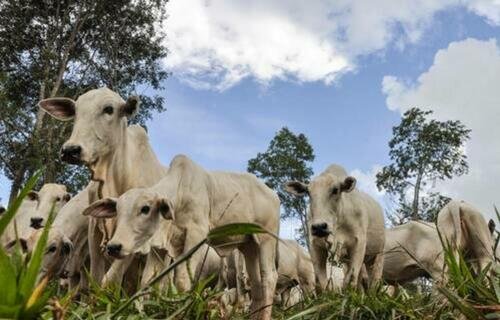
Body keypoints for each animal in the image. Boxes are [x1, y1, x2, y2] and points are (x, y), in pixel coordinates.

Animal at [37, 88, 170, 288]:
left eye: (109, 109)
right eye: (76, 111)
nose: (70, 150)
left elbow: (110, 279)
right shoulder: (94, 230)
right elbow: (94, 278)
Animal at [86, 155, 282, 320]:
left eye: (145, 208)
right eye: (117, 210)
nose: (114, 247)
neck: (180, 194)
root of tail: (273, 194)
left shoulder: (197, 234)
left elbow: (181, 280)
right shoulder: (160, 247)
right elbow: (147, 282)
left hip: (266, 239)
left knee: (269, 277)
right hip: (248, 245)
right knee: (256, 283)